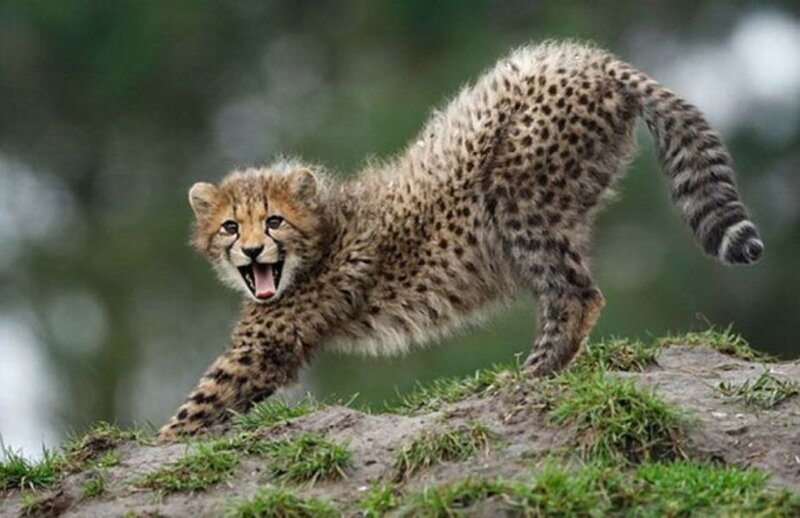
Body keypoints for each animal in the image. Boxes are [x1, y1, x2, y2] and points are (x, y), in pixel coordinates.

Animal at [158, 41, 763, 440]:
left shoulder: (265, 345)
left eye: (273, 222)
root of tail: (590, 59)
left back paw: (529, 374)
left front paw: (153, 444)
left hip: (520, 197)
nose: (252, 250)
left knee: (575, 293)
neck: (324, 224)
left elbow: (200, 403)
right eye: (231, 227)